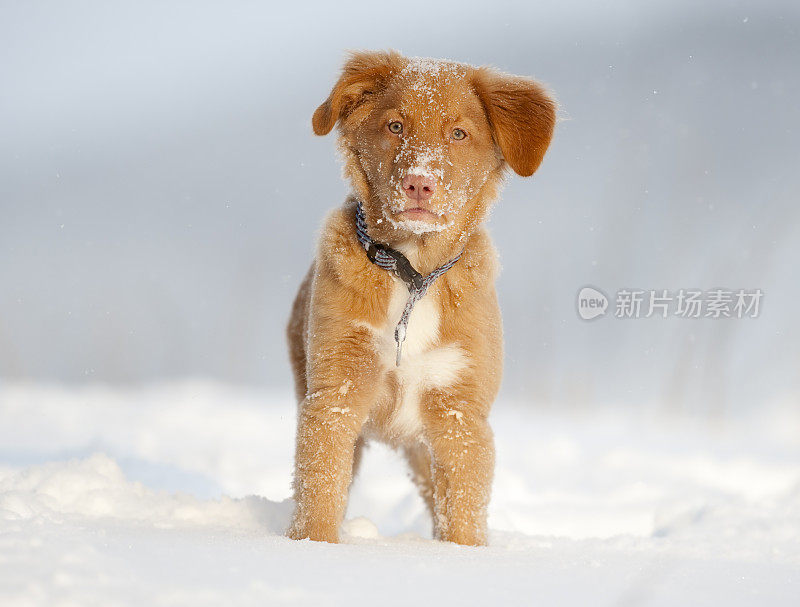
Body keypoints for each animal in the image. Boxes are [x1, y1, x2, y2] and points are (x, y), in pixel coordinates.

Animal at [288, 51, 556, 548]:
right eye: (395, 126)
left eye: (459, 134)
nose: (419, 183)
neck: (412, 274)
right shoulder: (336, 392)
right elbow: (321, 489)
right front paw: (312, 548)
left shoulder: (459, 411)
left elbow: (463, 514)